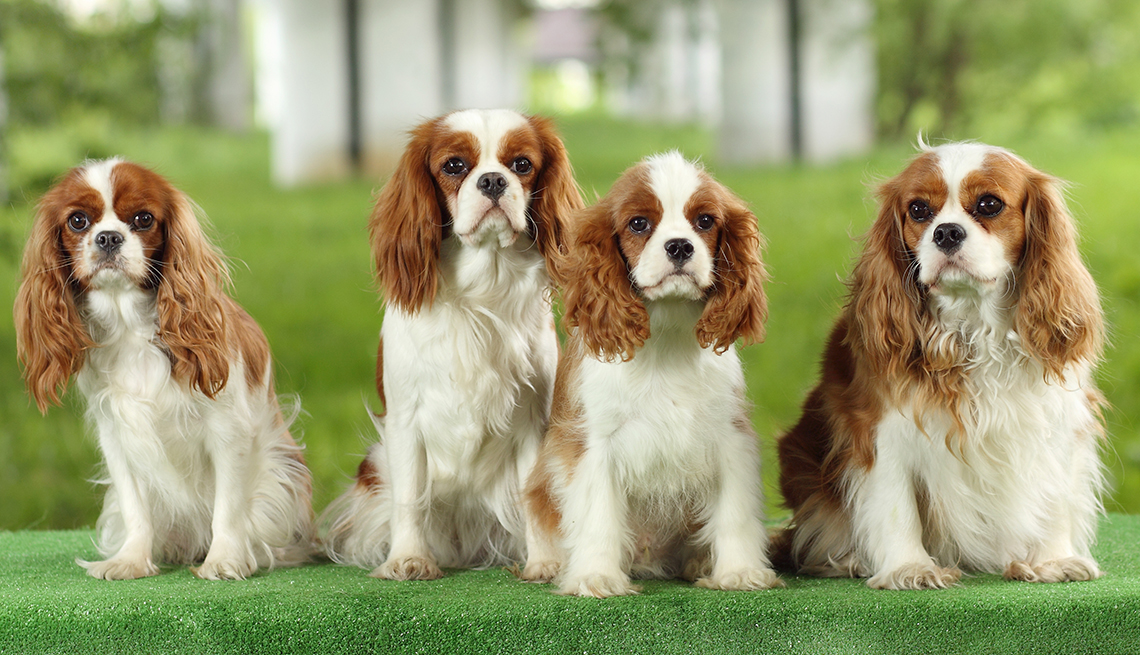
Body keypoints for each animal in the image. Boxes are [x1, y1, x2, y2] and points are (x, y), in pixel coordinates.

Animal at [14, 159, 316, 578]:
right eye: (77, 221)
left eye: (143, 219)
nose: (108, 238)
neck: (131, 328)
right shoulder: (117, 433)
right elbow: (135, 507)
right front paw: (131, 560)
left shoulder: (229, 430)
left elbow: (229, 506)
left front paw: (223, 561)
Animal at [323, 110, 583, 580]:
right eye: (454, 166)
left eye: (522, 164)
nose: (493, 181)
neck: (484, 284)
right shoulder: (405, 421)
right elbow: (409, 498)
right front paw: (408, 559)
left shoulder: (534, 421)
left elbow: (533, 496)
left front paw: (544, 563)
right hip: (376, 463)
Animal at [522, 151, 779, 596]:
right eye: (639, 223)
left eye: (705, 221)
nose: (679, 246)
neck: (666, 332)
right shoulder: (593, 443)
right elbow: (598, 514)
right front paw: (596, 576)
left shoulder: (730, 435)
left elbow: (735, 511)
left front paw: (739, 571)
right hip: (539, 486)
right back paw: (545, 564)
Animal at [775, 142, 1103, 587]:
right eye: (918, 210)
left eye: (989, 204)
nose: (946, 232)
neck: (974, 325)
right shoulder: (881, 425)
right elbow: (895, 503)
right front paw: (909, 567)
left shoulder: (1053, 418)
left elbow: (1055, 495)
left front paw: (1054, 559)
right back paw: (850, 558)